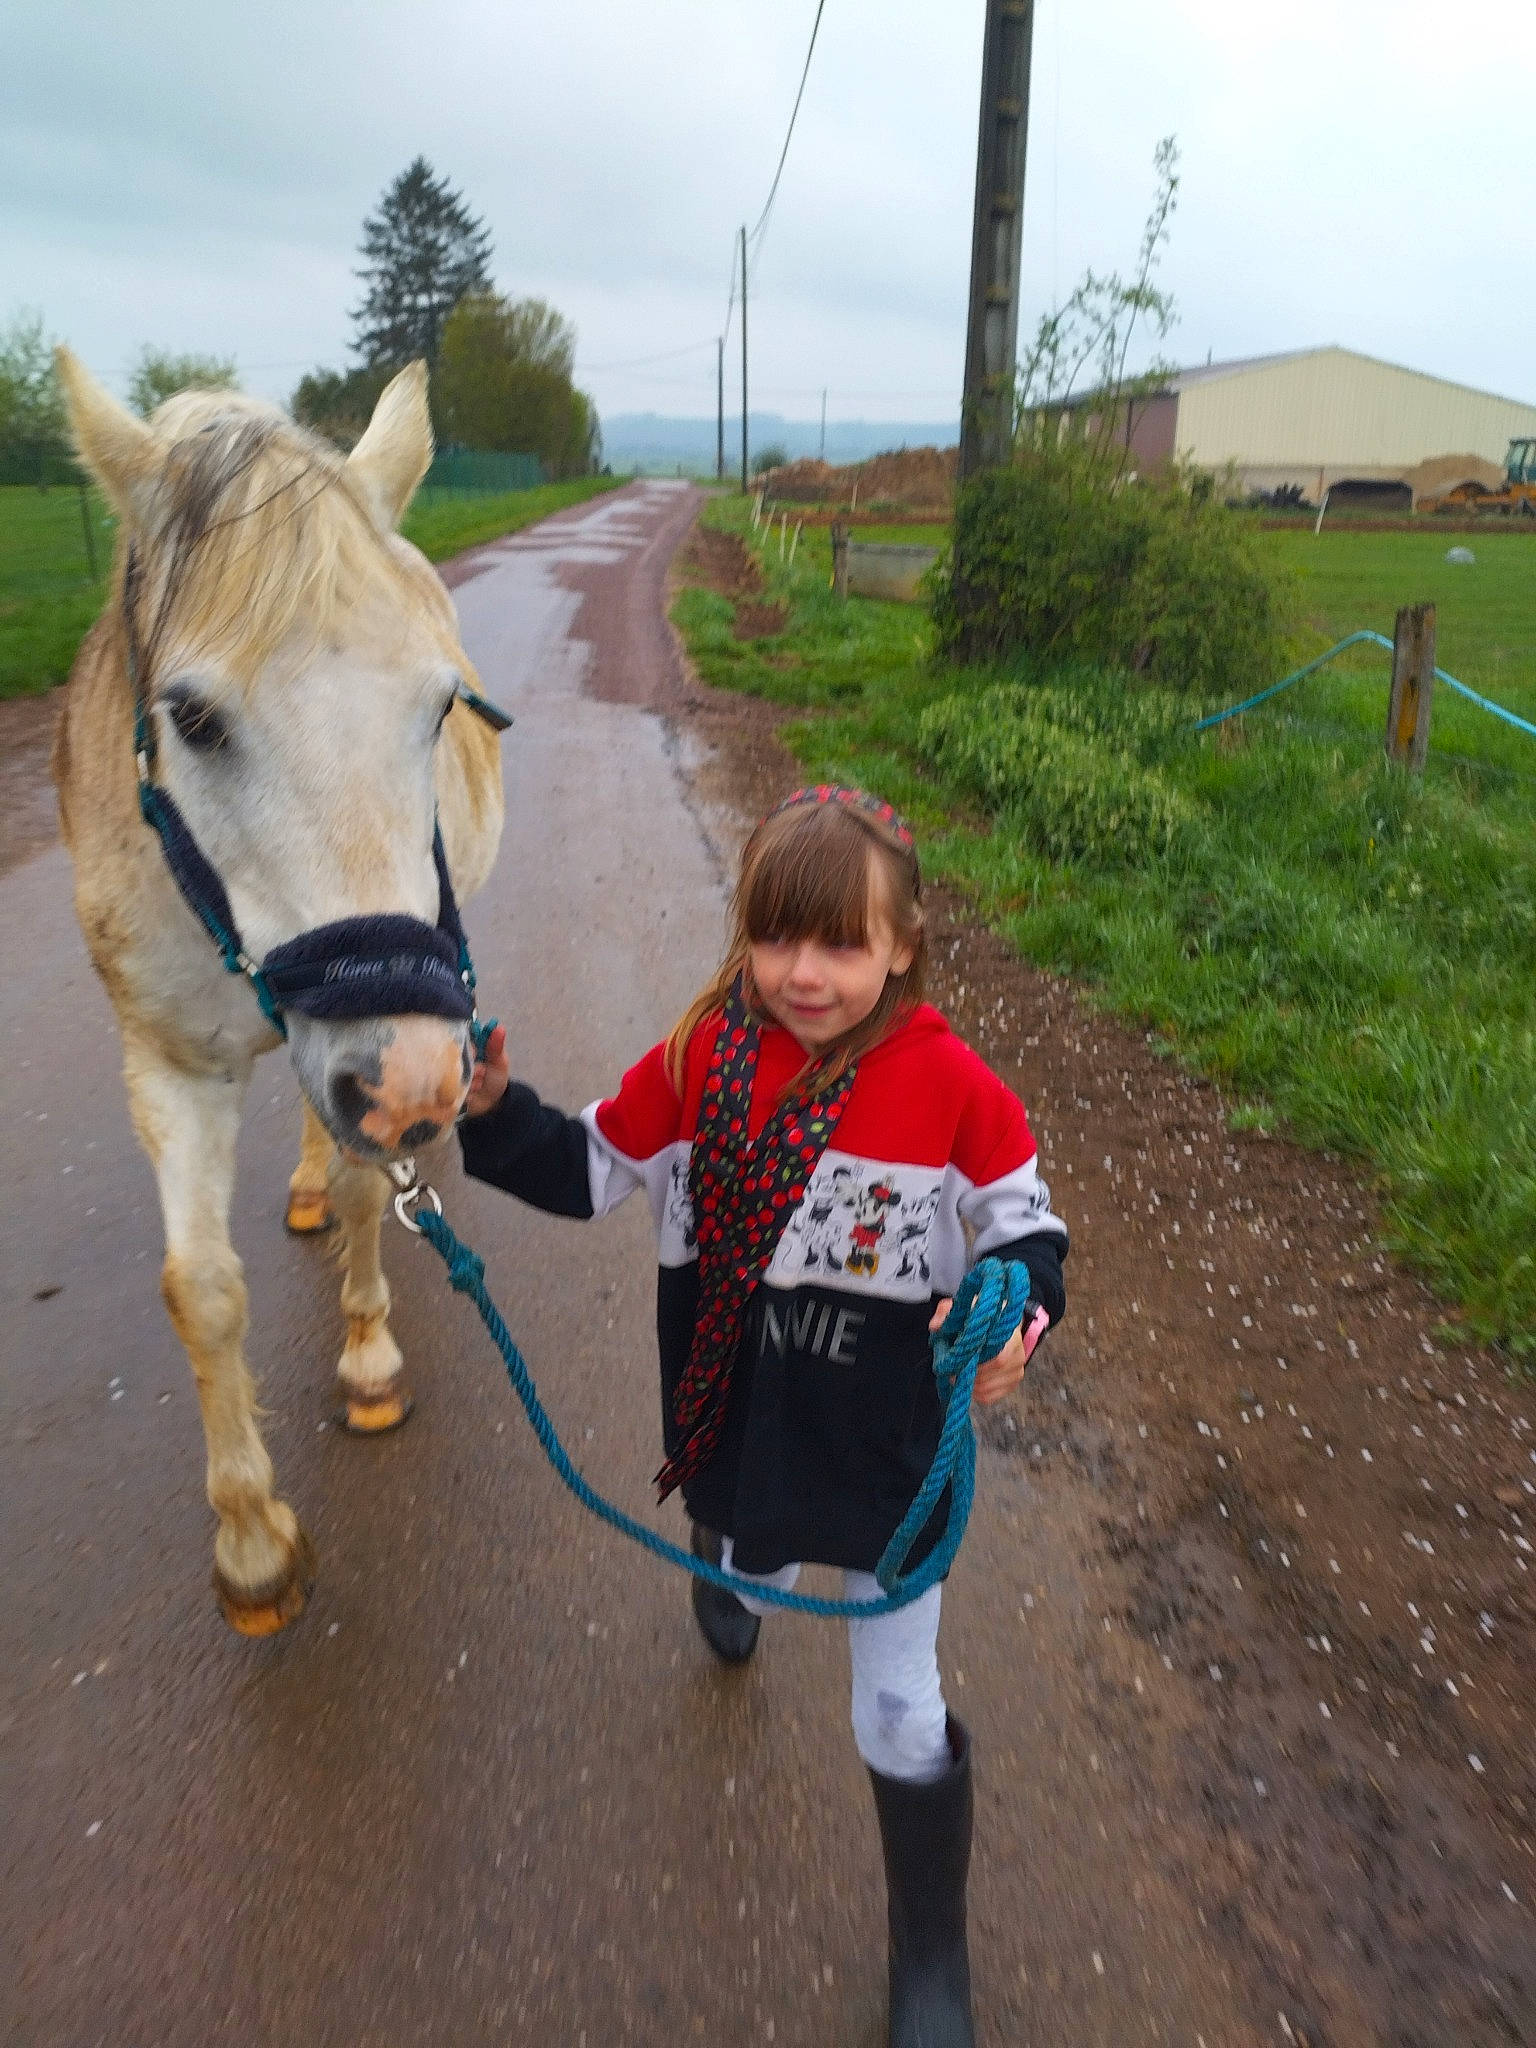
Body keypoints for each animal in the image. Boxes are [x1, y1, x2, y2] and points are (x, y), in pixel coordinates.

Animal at [51, 352, 505, 1635]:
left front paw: (368, 1360)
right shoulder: (169, 1060)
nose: (417, 1086)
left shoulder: (362, 1054)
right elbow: (200, 1288)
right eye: (192, 717)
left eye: (440, 705)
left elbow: (364, 1192)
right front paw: (250, 1538)